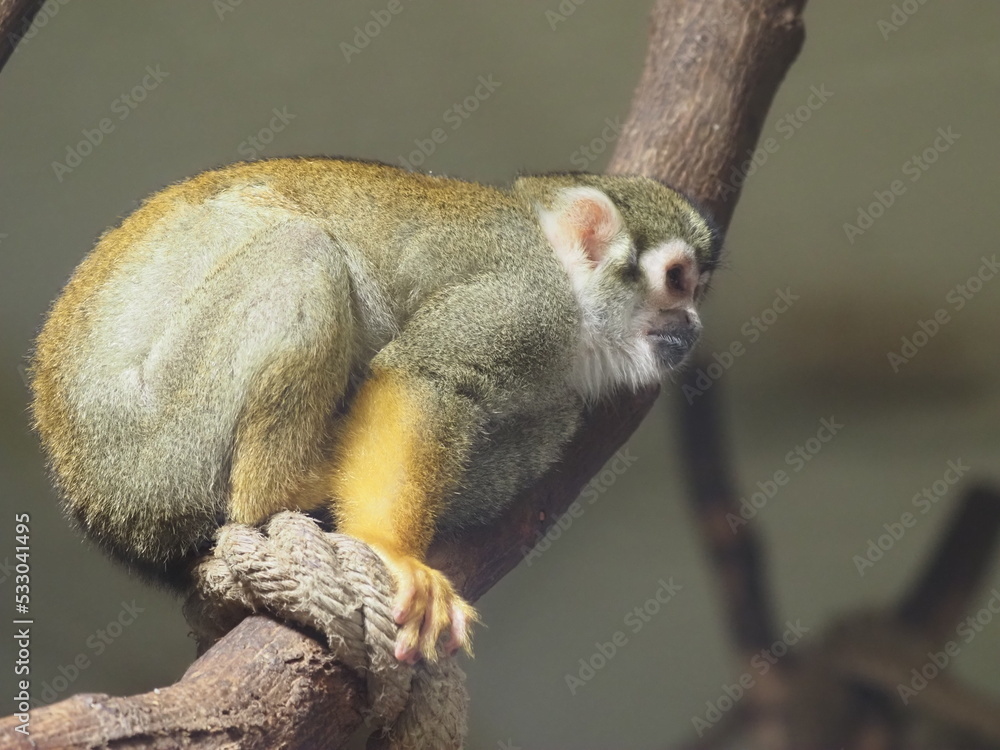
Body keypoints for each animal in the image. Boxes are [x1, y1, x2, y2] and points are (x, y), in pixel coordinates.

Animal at [30, 158, 720, 663]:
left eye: (694, 291)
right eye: (677, 280)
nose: (692, 324)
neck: (570, 288)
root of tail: (99, 506)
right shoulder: (524, 297)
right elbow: (423, 373)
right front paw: (389, 550)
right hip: (154, 435)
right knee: (302, 250)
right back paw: (289, 486)